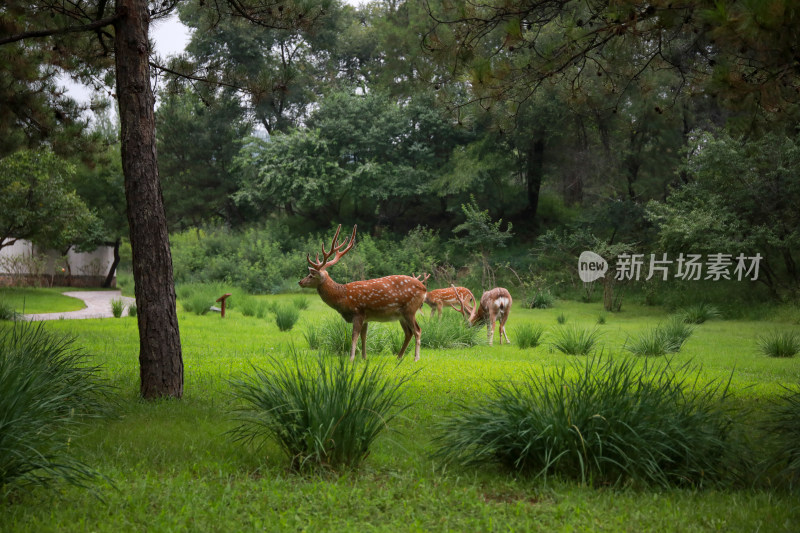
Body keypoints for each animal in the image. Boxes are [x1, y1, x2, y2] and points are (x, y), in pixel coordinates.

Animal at [298, 224, 424, 362]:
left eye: (310, 275)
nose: (300, 282)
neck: (342, 297)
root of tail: (424, 289)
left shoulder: (358, 311)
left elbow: (354, 336)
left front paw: (351, 358)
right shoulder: (365, 316)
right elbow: (364, 336)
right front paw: (364, 357)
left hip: (410, 309)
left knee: (417, 330)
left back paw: (416, 358)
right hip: (401, 314)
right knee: (408, 332)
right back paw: (399, 357)